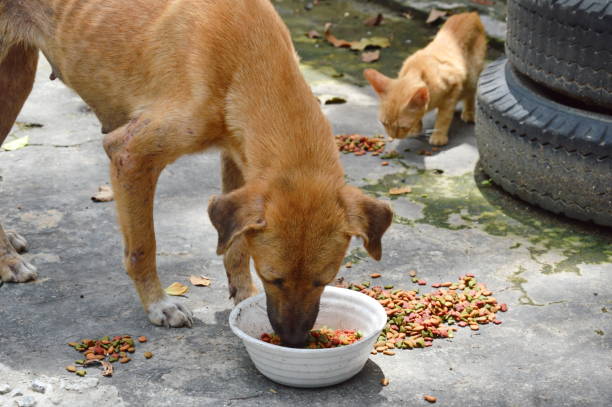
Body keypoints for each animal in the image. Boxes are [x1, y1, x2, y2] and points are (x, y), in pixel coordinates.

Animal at [1, 0, 392, 346]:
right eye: (273, 278)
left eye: (324, 280)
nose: (294, 341)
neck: (250, 61)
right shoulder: (130, 154)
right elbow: (143, 246)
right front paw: (159, 305)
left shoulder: (238, 157)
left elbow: (236, 247)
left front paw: (244, 297)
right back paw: (9, 263)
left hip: (17, 77)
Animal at [364, 11, 488, 147]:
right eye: (384, 123)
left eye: (402, 127)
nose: (393, 136)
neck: (417, 71)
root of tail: (470, 14)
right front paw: (416, 127)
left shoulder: (453, 88)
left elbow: (444, 117)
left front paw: (438, 135)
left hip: (472, 77)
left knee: (470, 94)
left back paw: (469, 113)